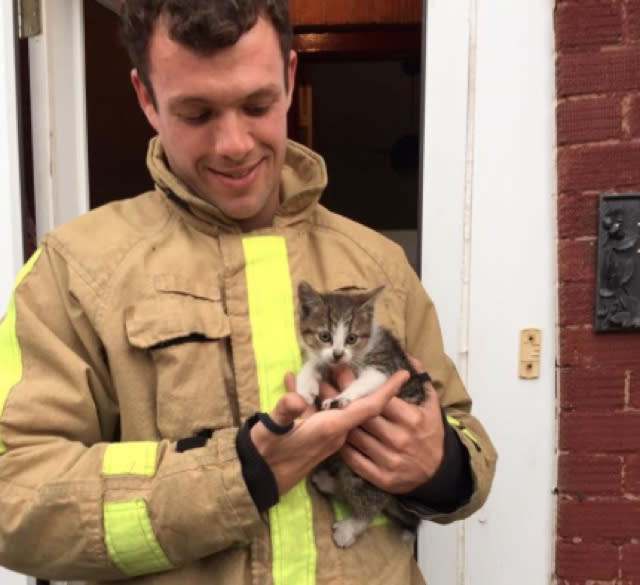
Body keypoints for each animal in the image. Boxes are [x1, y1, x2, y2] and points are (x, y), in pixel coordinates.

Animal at [294, 280, 424, 544]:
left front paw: (341, 398)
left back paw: (352, 526)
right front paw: (305, 382)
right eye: (325, 336)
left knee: (369, 499)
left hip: (375, 474)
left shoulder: (386, 368)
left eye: (352, 338)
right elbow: (317, 362)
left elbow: (366, 382)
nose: (337, 353)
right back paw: (328, 482)